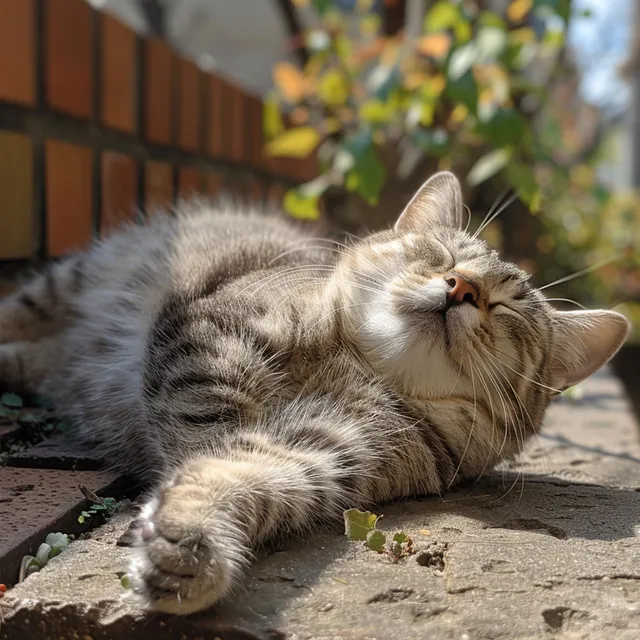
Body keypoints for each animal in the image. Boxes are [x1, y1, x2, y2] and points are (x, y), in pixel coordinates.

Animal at [0, 171, 632, 616]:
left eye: (506, 308)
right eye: (441, 257)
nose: (462, 287)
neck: (360, 366)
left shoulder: (328, 451)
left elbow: (238, 470)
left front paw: (192, 536)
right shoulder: (208, 340)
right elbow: (208, 426)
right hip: (61, 285)